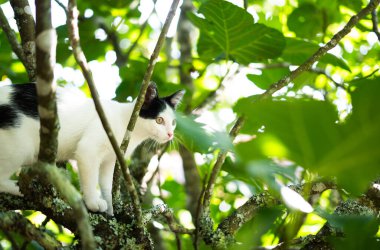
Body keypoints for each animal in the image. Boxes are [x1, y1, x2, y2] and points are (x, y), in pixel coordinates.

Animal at [0, 82, 184, 215]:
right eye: (159, 120)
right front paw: (93, 202)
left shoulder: (110, 158)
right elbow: (91, 179)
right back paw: (19, 188)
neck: (126, 123)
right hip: (20, 148)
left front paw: (111, 210)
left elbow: (106, 184)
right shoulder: (88, 149)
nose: (170, 134)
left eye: (173, 122)